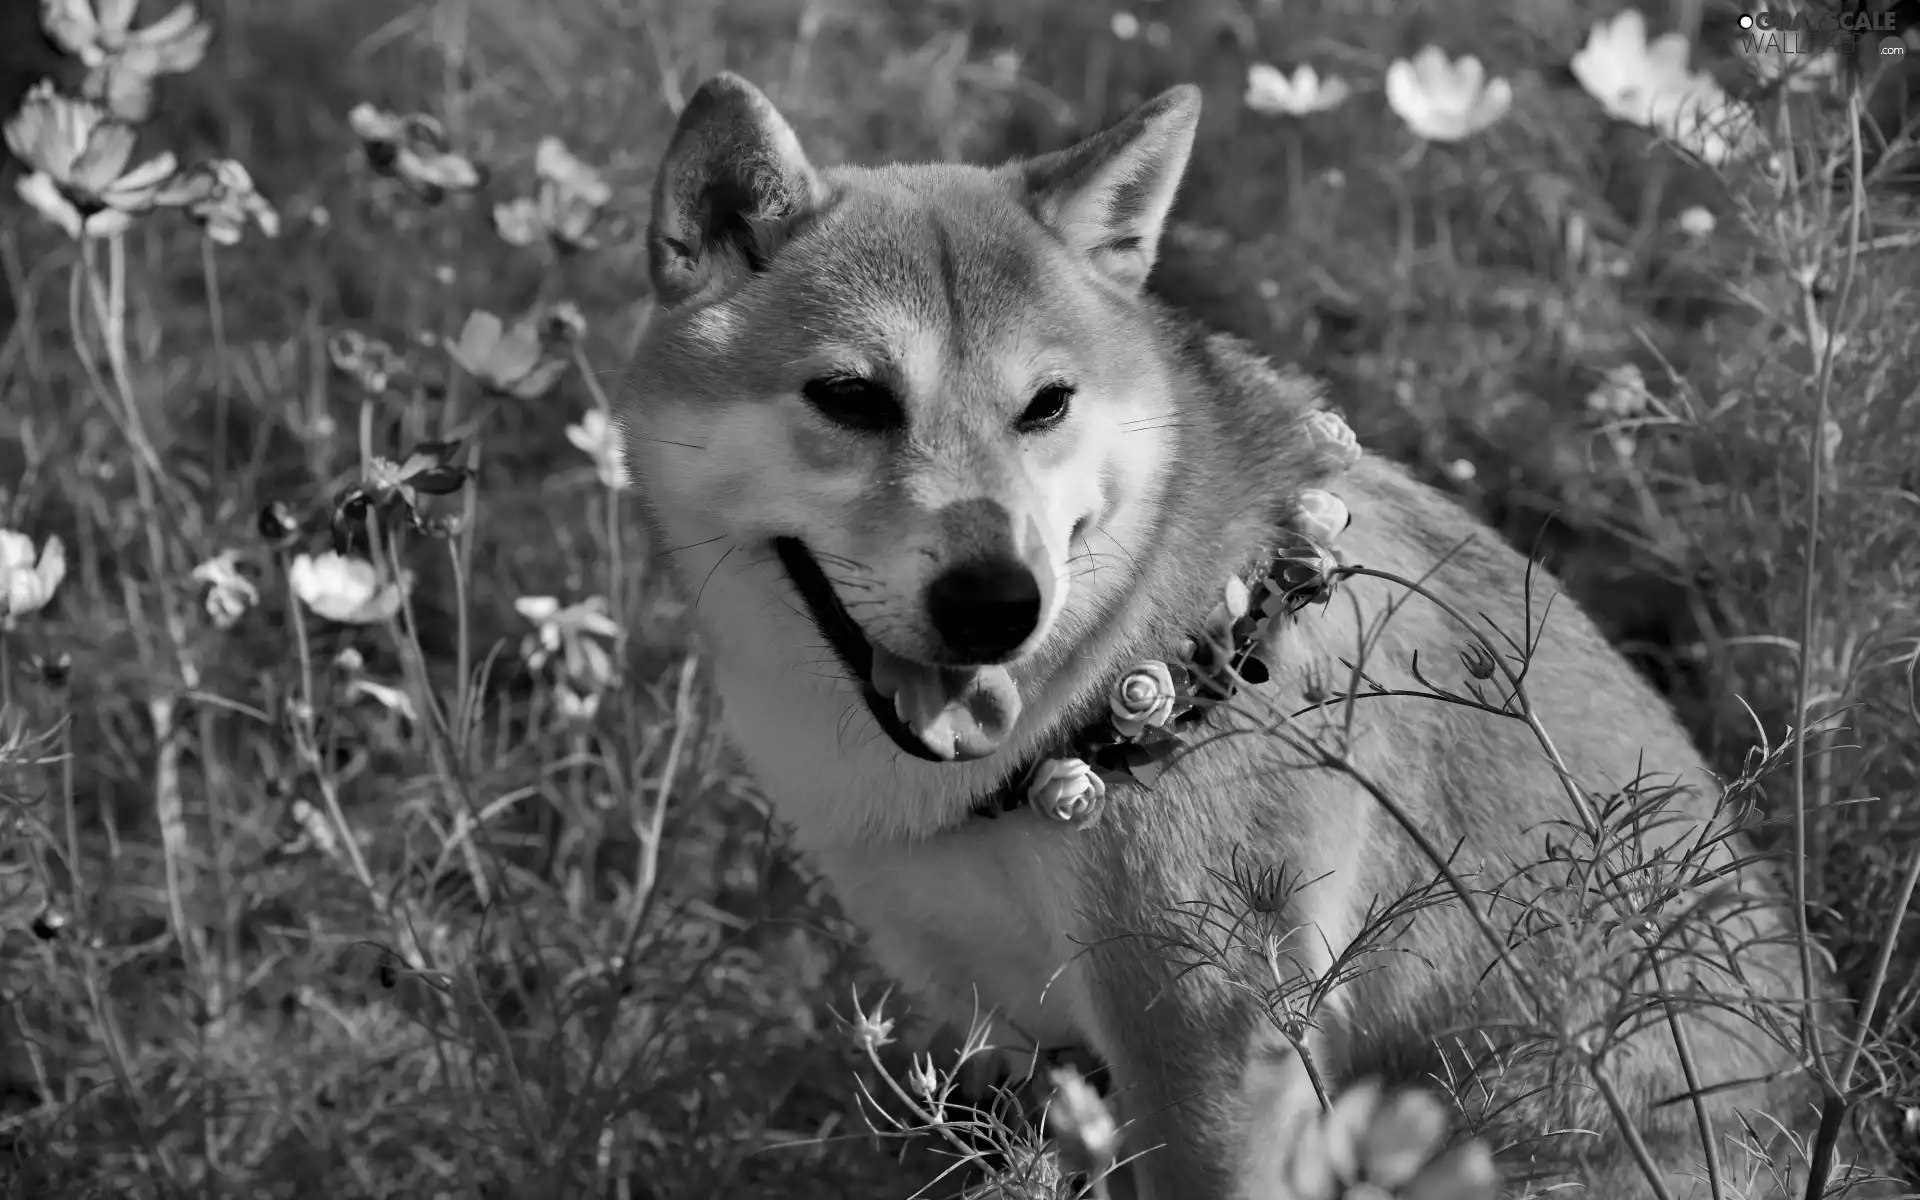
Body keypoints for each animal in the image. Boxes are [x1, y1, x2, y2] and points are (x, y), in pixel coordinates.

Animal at [622, 77, 1850, 1198]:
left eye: (1047, 405)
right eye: (851, 397)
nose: (997, 602)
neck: (1117, 674)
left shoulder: (1206, 1046)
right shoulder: (1034, 1046)